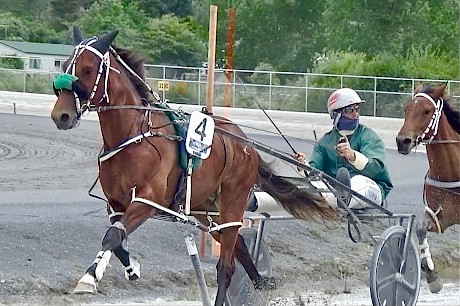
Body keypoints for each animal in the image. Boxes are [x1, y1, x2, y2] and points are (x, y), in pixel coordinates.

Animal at [50, 26, 334, 306]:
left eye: (88, 69)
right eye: (64, 65)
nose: (61, 115)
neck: (133, 134)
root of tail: (247, 144)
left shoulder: (146, 200)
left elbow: (112, 236)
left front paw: (88, 279)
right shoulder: (115, 203)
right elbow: (117, 240)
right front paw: (131, 269)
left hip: (233, 203)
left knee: (226, 266)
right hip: (207, 210)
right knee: (239, 247)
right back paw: (259, 281)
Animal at [396, 83, 460, 294]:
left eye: (426, 111)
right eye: (406, 109)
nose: (403, 141)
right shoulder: (442, 215)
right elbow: (421, 228)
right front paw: (432, 275)